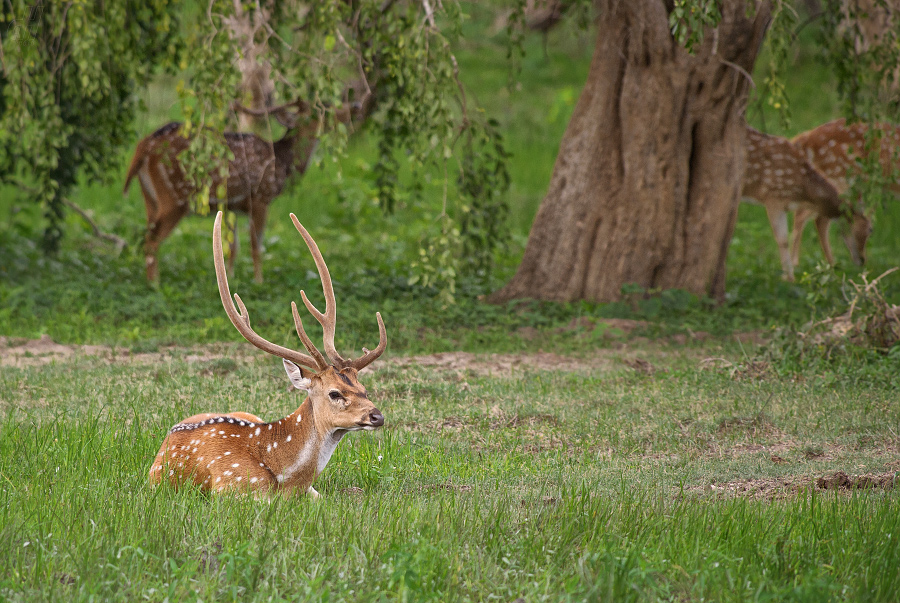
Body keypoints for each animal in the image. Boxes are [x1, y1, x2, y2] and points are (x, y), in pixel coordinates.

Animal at [149, 210, 386, 498]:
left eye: (364, 389)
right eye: (334, 393)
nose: (377, 416)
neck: (290, 480)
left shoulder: (312, 491)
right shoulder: (229, 487)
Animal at [740, 127, 872, 284]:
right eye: (870, 230)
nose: (863, 260)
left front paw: (788, 277)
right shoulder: (773, 197)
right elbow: (782, 239)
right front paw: (789, 278)